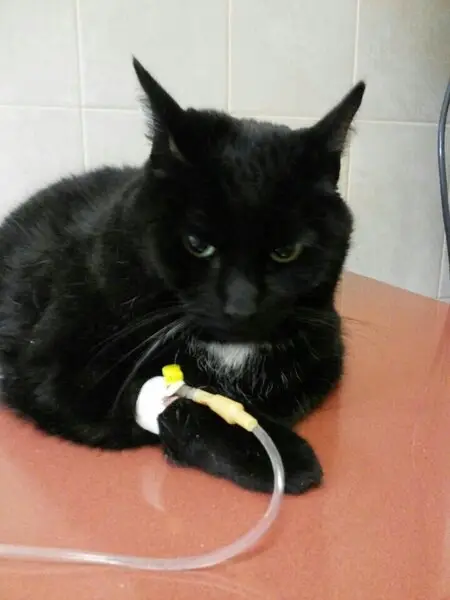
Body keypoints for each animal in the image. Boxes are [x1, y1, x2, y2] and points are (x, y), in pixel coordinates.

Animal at [0, 57, 365, 494]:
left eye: (285, 251)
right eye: (197, 243)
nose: (241, 306)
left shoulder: (324, 348)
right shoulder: (62, 373)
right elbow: (178, 398)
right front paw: (281, 455)